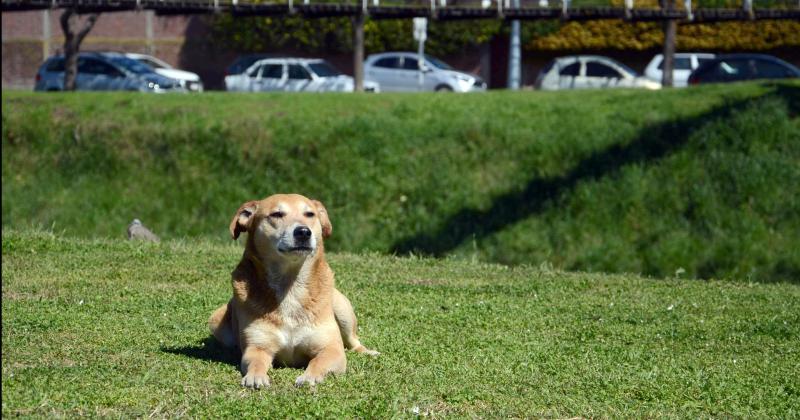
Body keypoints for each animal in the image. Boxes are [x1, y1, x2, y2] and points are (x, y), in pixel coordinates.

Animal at [209, 193, 378, 388]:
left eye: (310, 214)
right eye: (276, 214)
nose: (303, 232)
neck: (290, 286)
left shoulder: (331, 349)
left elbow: (319, 361)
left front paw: (309, 376)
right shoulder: (257, 346)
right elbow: (255, 360)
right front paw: (255, 376)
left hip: (342, 309)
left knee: (353, 340)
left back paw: (368, 352)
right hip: (215, 321)